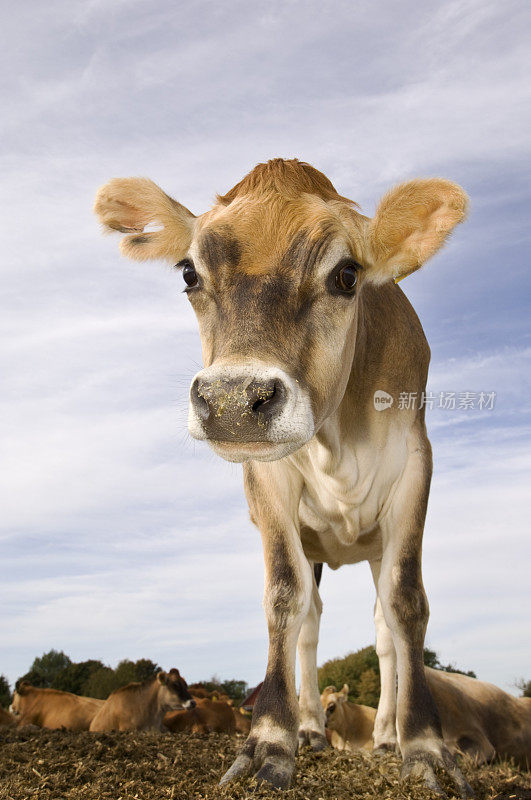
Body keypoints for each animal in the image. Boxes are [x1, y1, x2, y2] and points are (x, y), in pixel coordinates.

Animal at [94, 159, 470, 796]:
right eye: (189, 273)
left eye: (347, 274)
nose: (231, 400)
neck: (341, 438)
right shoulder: (266, 480)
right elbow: (284, 596)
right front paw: (273, 740)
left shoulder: (416, 467)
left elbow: (406, 603)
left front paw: (422, 745)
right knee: (313, 619)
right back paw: (313, 728)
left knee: (385, 632)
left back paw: (385, 734)